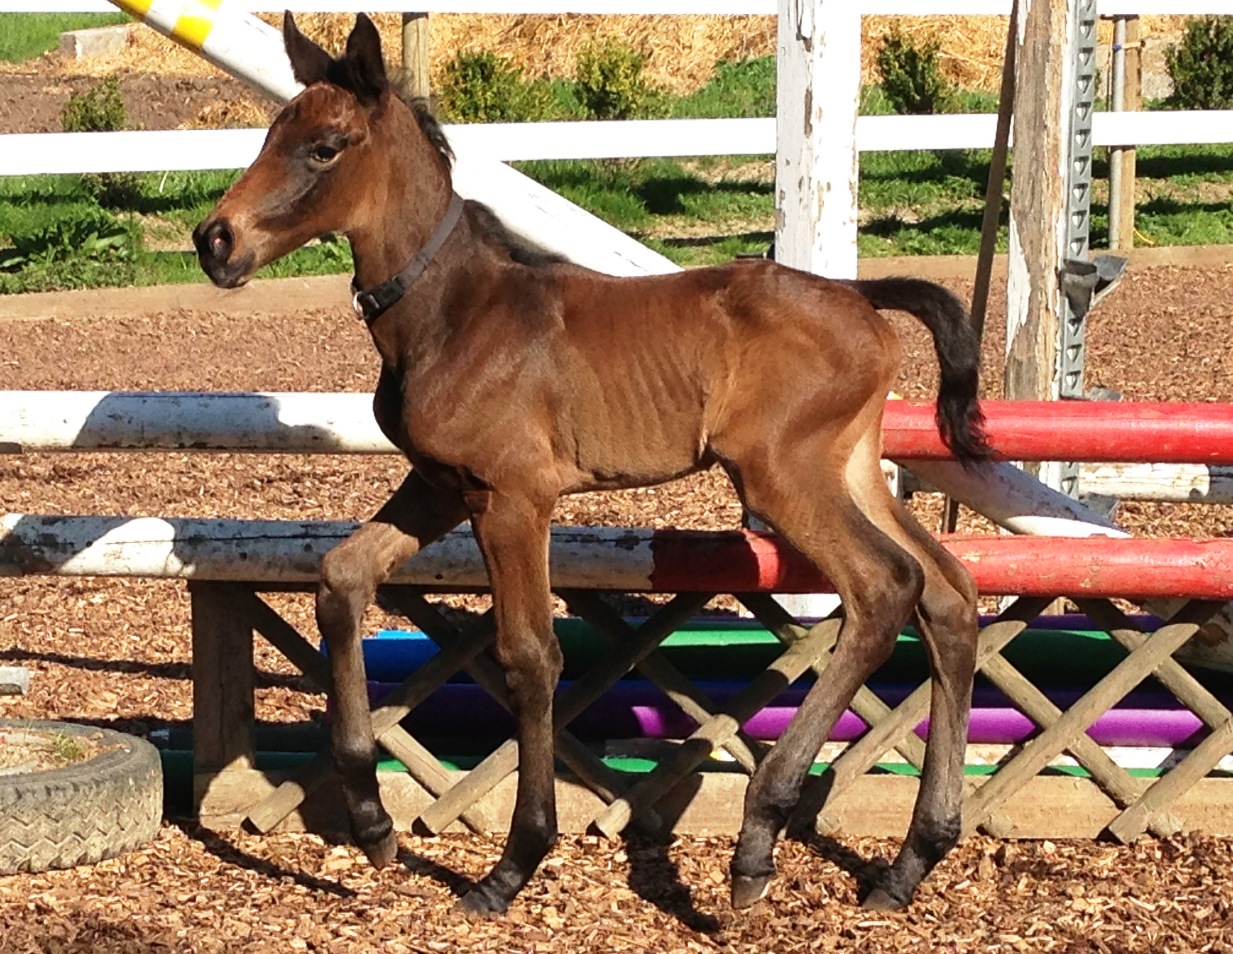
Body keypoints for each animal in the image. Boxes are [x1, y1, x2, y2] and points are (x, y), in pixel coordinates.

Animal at [194, 12, 990, 918]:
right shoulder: (439, 487)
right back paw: (910, 860)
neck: (456, 311)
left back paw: (758, 837)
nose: (215, 241)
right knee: (947, 593)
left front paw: (513, 862)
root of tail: (860, 297)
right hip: (848, 464)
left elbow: (529, 655)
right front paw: (371, 821)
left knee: (883, 587)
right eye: (271, 133)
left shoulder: (512, 497)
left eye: (325, 147)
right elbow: (340, 577)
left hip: (780, 474)